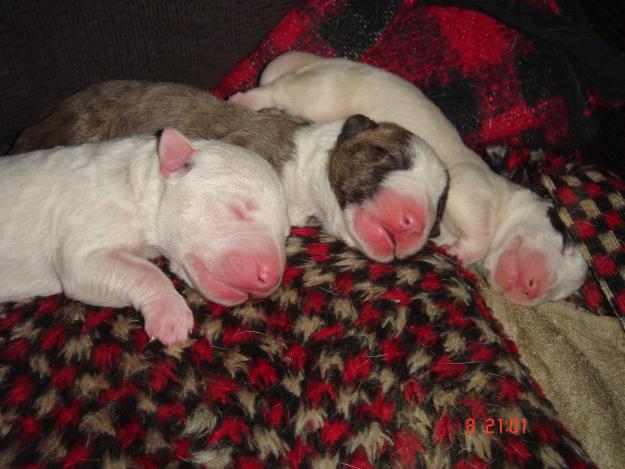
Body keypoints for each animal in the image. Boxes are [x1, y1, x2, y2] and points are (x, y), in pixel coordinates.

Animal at [0, 128, 290, 344]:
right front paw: (171, 317)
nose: (271, 278)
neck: (136, 183)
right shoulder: (87, 223)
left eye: (285, 234)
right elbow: (143, 270)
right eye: (237, 209)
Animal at [230, 53, 588, 306]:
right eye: (562, 241)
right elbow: (479, 227)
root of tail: (322, 61)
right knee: (277, 90)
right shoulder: (470, 188)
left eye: (555, 297)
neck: (505, 199)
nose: (531, 291)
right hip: (322, 93)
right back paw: (245, 99)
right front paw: (464, 251)